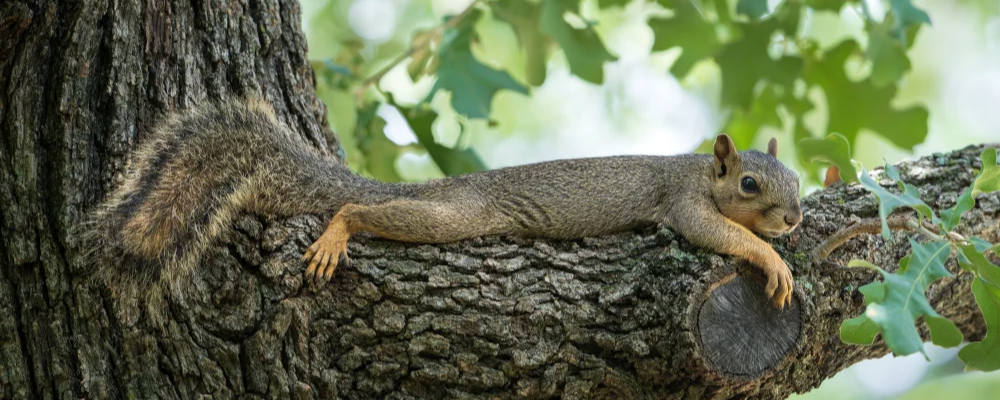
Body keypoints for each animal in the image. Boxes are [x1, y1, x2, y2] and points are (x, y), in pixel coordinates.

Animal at [78, 97, 802, 308]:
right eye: (748, 184)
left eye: (796, 177)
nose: (794, 217)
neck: (700, 170)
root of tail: (430, 187)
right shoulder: (682, 202)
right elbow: (717, 233)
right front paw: (772, 258)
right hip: (454, 215)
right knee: (360, 212)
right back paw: (339, 230)